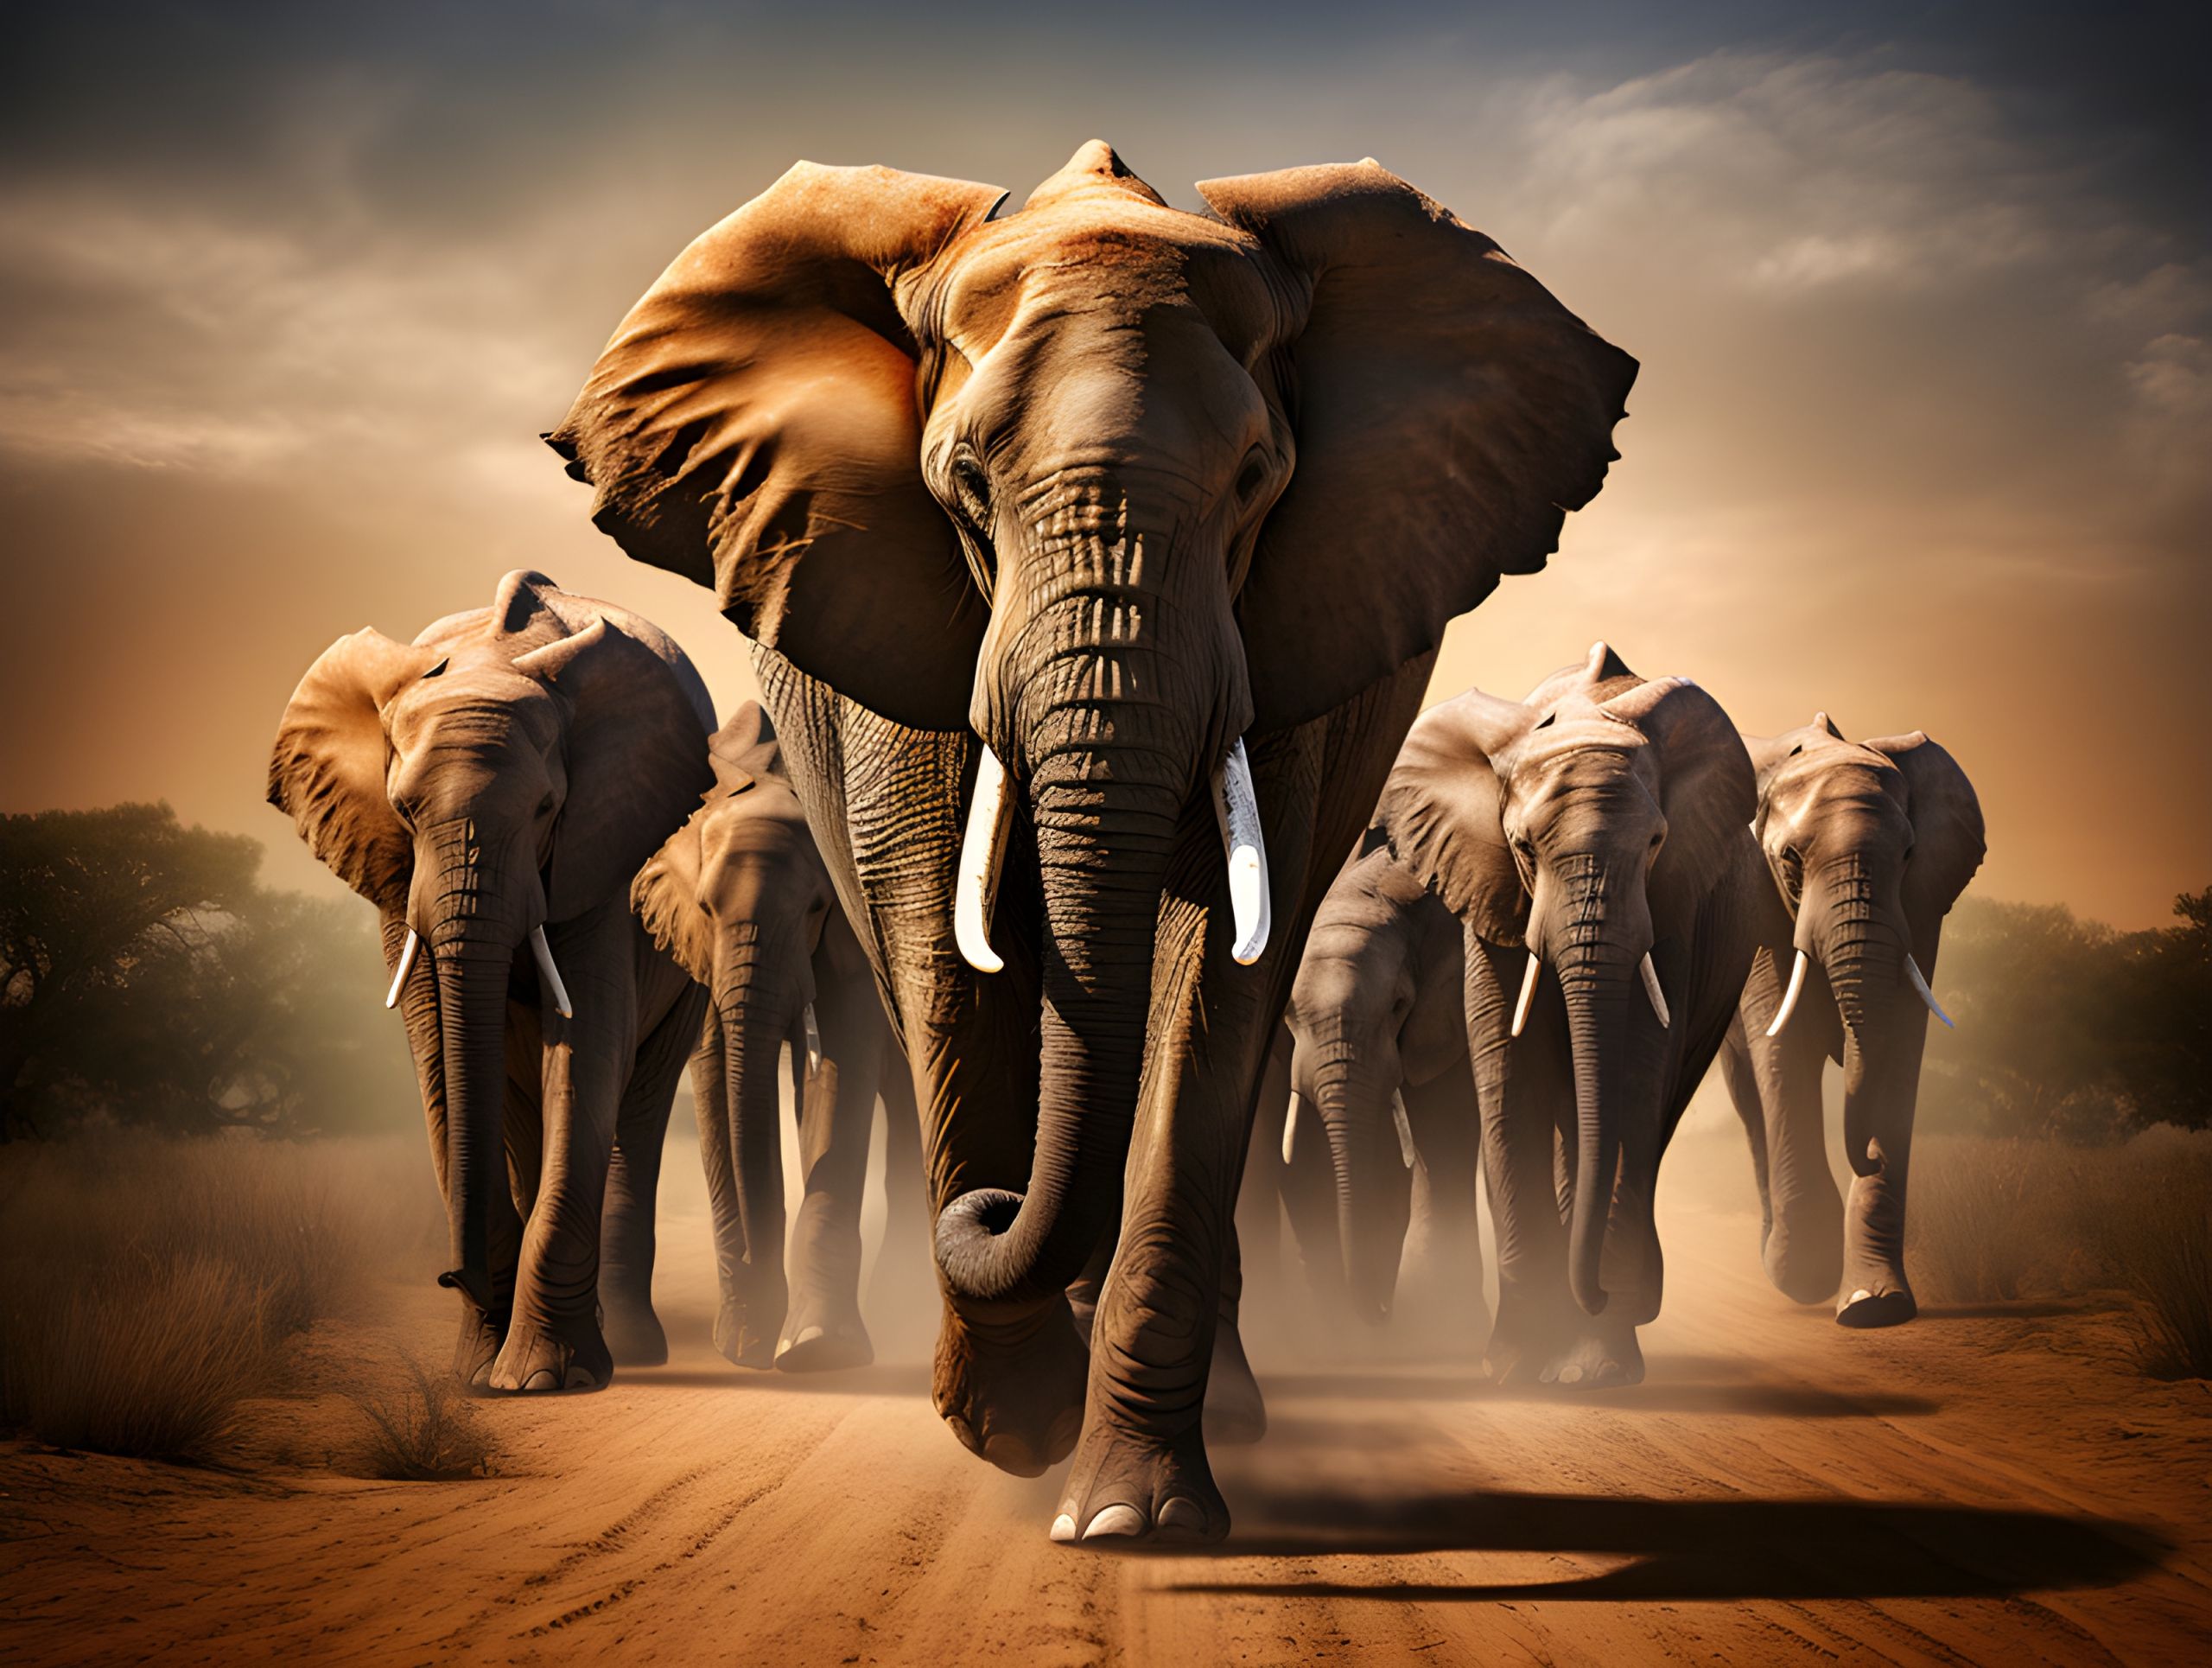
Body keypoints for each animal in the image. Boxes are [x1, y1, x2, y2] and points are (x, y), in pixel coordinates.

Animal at [268, 569, 714, 1392]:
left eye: (546, 808)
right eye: (404, 810)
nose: (451, 1275)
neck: (491, 657)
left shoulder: (601, 849)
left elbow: (587, 1048)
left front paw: (542, 1380)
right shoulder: (394, 875)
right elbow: (439, 1055)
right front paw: (478, 1373)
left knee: (636, 1110)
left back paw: (630, 1350)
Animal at [632, 702, 931, 1372]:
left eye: (818, 907)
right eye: (705, 909)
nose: (756, 1342)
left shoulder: (854, 935)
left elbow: (842, 1064)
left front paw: (818, 1349)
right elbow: (719, 1073)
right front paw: (745, 1340)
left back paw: (901, 1307)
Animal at [1281, 838, 1488, 1351]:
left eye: (1398, 1006)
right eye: (1289, 1013)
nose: (1380, 1311)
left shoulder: (1447, 1009)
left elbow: (1445, 1123)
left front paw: (1451, 1328)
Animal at [1369, 644, 1760, 1387]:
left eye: (1657, 843)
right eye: (1523, 848)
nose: (1598, 1294)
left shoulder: (1672, 905)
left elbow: (1631, 1079)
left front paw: (1597, 1368)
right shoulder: (1488, 893)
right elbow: (1511, 1075)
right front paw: (1516, 1367)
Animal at [1717, 715, 1984, 1326]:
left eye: (1909, 854)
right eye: (1790, 858)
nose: (1867, 1158)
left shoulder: (1919, 909)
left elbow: (1902, 1044)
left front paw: (1874, 1306)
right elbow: (1783, 1043)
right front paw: (1804, 1273)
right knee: (1749, 1094)